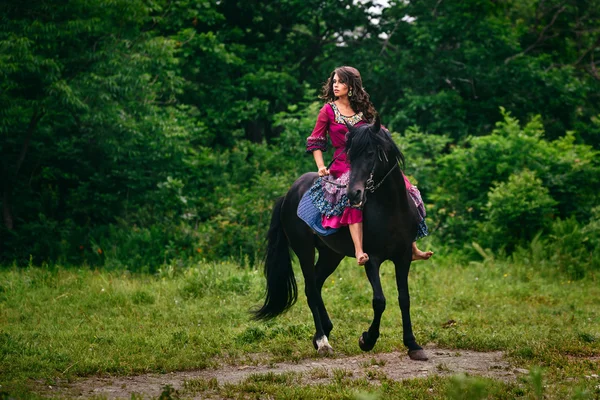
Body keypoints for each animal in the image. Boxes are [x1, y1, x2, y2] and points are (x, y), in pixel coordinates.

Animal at [252, 115, 426, 360]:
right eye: (350, 155)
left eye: (371, 153)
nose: (354, 194)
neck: (391, 208)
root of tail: (288, 194)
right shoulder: (372, 259)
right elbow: (379, 301)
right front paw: (367, 340)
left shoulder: (403, 257)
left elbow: (404, 299)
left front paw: (412, 344)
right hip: (304, 249)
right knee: (311, 289)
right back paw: (322, 341)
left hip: (330, 254)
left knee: (316, 284)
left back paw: (325, 330)